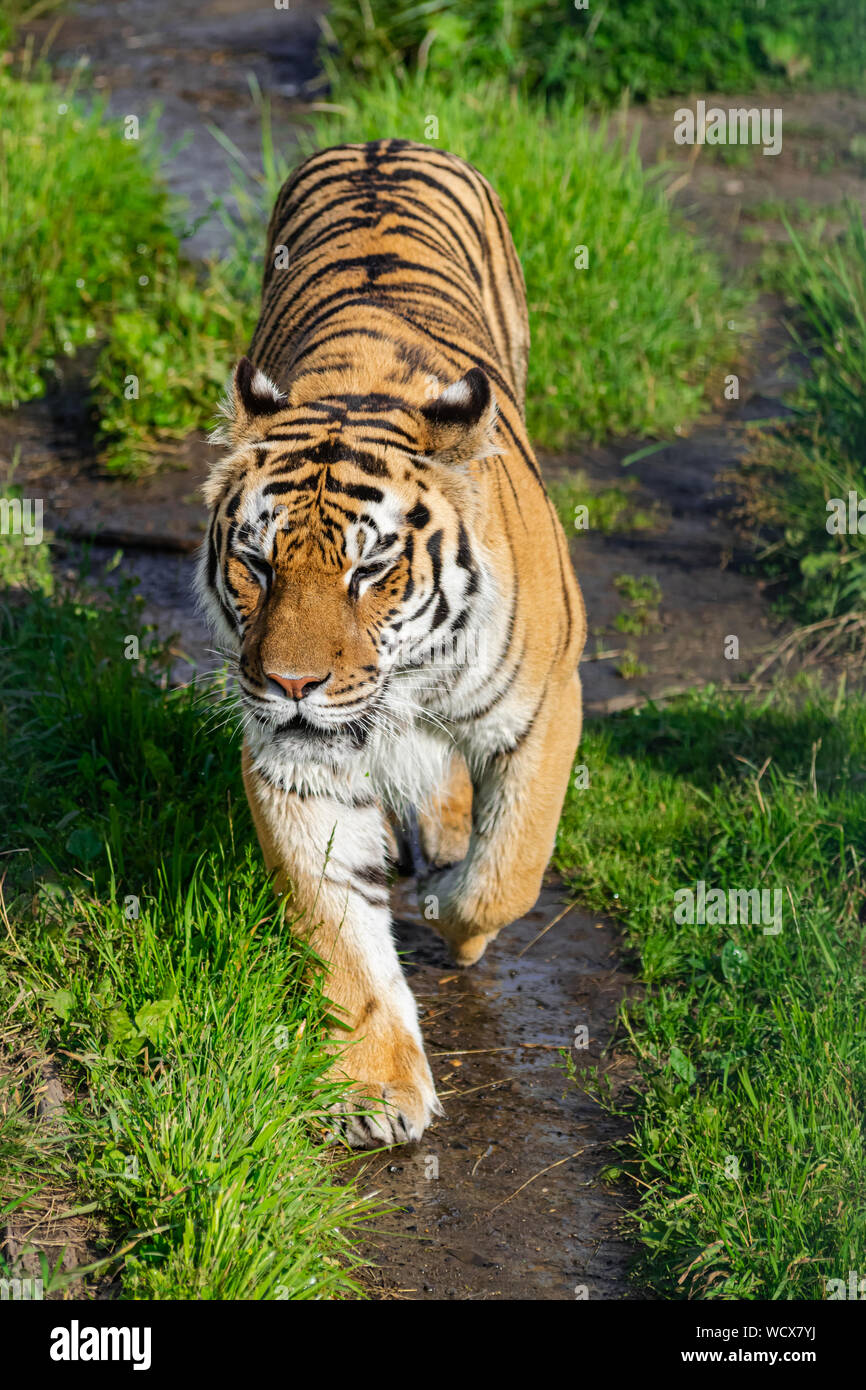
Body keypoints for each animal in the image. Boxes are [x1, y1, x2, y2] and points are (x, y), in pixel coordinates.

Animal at [197, 139, 586, 1147]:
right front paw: (375, 1089)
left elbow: (512, 868)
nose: (290, 682)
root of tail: (385, 141)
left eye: (369, 570)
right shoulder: (296, 761)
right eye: (255, 561)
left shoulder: (548, 704)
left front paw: (456, 914)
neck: (399, 687)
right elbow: (337, 927)